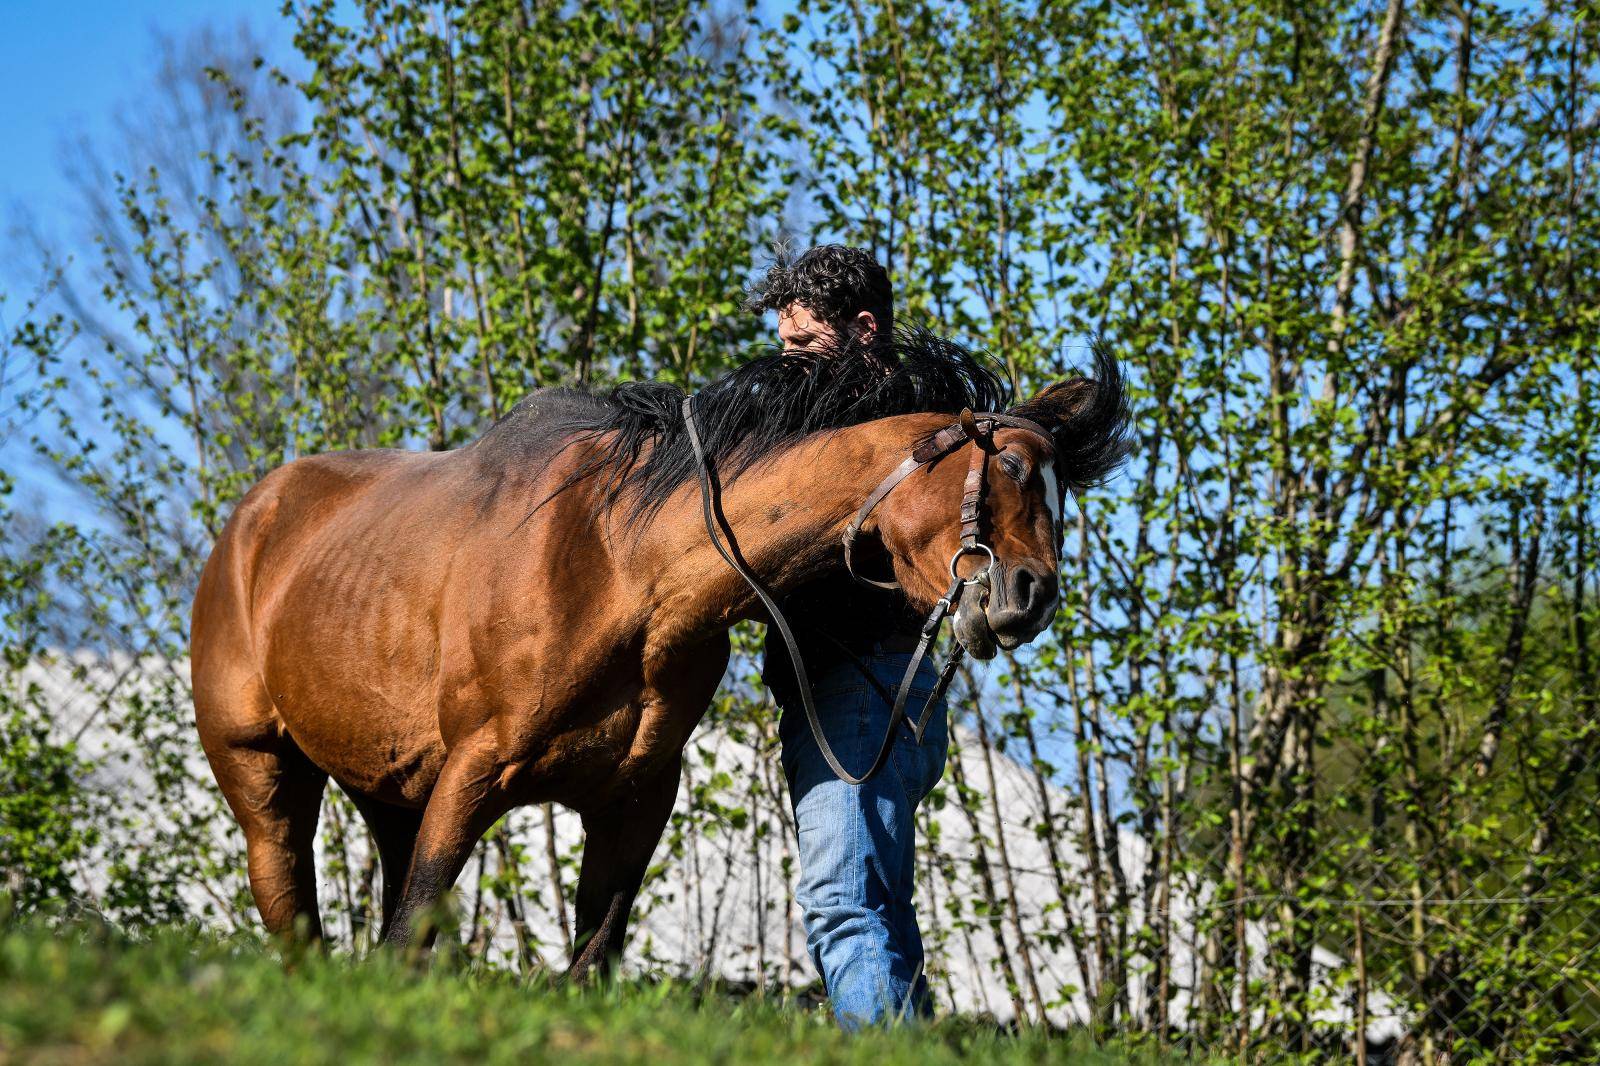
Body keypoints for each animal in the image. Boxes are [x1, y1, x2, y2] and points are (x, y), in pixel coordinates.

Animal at [190, 332, 1126, 973]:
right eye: (1010, 470)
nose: (1031, 595)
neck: (621, 567)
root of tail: (250, 522)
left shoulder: (632, 803)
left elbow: (588, 957)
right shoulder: (473, 773)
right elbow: (418, 924)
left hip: (390, 792)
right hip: (265, 779)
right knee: (291, 909)